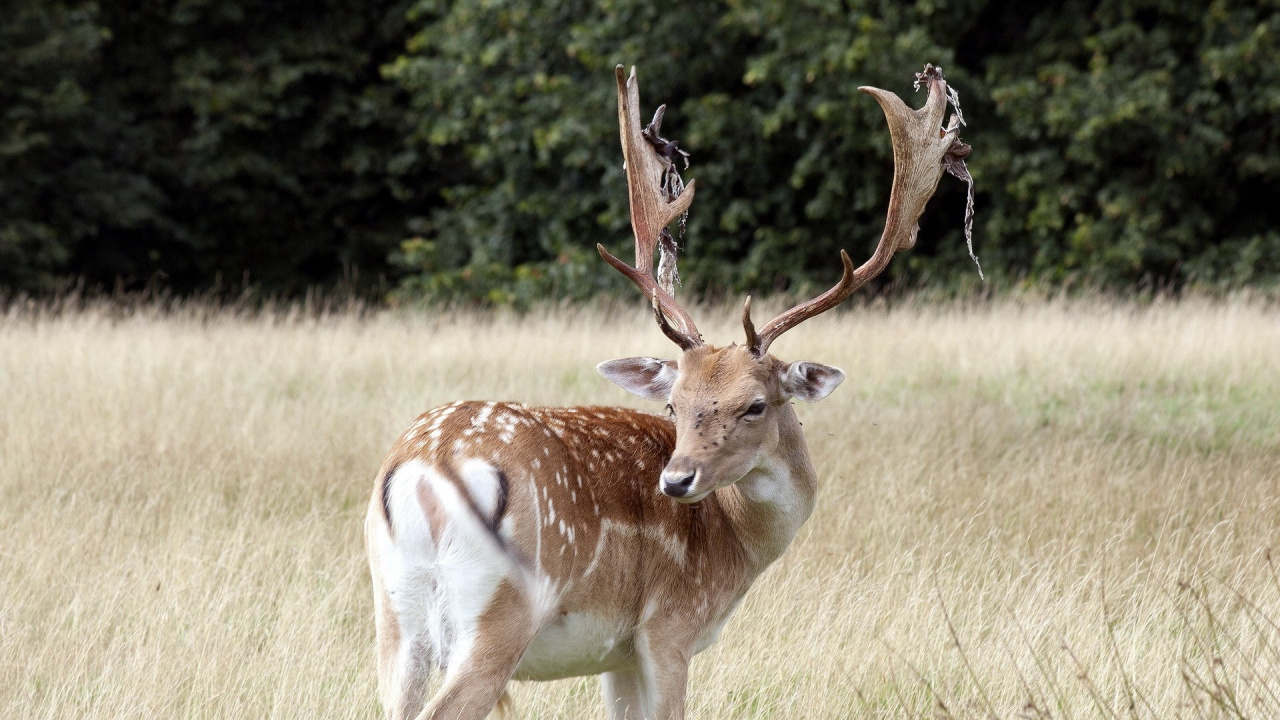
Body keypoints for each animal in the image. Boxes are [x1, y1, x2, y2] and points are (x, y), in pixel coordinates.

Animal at [365, 63, 971, 720]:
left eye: (755, 404)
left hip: (394, 611)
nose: (677, 481)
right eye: (673, 403)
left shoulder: (616, 653)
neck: (735, 544)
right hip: (500, 610)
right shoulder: (668, 628)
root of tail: (428, 466)